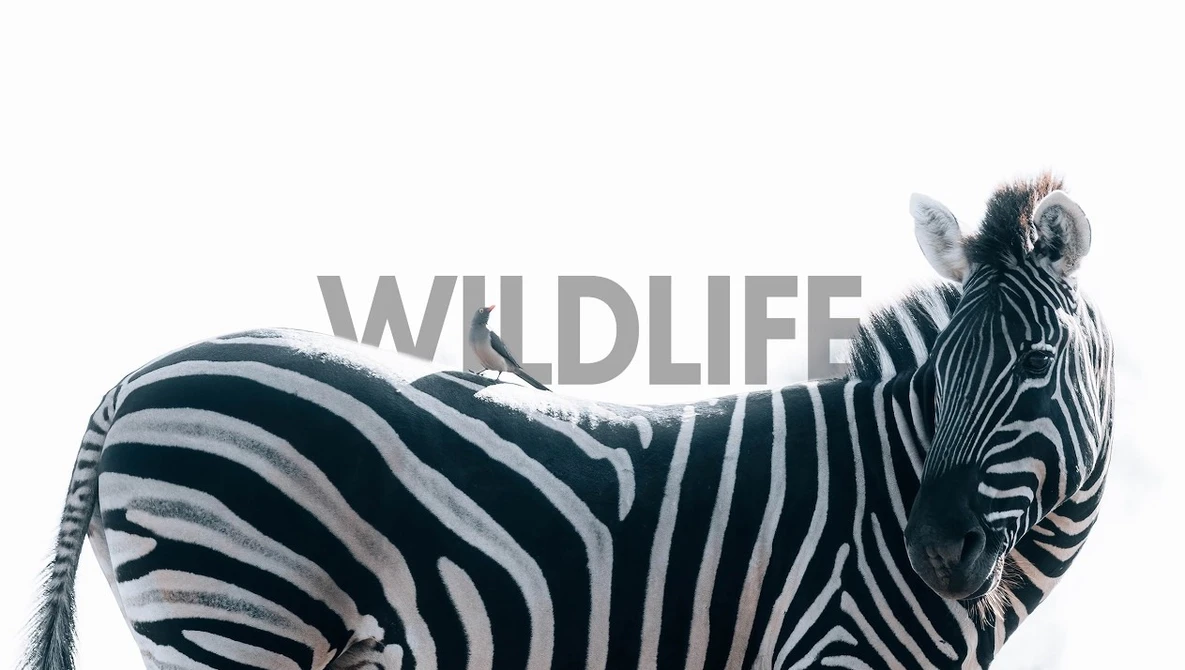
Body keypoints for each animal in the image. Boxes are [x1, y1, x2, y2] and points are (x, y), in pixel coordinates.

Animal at [20, 172, 1114, 670]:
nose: (932, 551)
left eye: (1033, 365)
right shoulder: (831, 647)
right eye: (937, 375)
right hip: (232, 611)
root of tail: (132, 379)